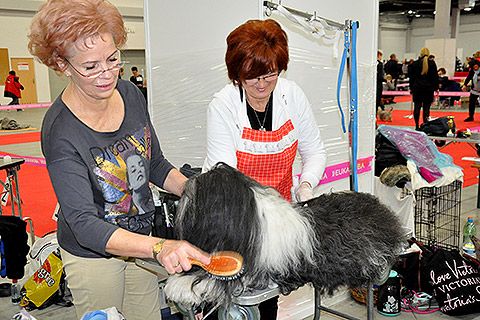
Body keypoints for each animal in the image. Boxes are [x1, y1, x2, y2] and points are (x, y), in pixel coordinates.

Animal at [165, 164, 404, 306]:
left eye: (197, 192)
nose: (182, 195)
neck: (252, 219)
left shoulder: (253, 272)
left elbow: (218, 282)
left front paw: (180, 286)